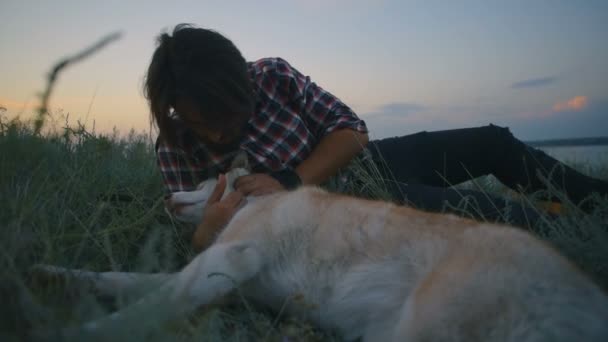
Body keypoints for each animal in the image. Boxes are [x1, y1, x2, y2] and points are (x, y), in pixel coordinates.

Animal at [32, 154, 608, 340]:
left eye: (203, 180)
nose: (168, 195)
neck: (249, 203)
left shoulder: (224, 262)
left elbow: (143, 310)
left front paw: (74, 331)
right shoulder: (216, 280)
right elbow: (121, 281)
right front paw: (55, 275)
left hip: (423, 326)